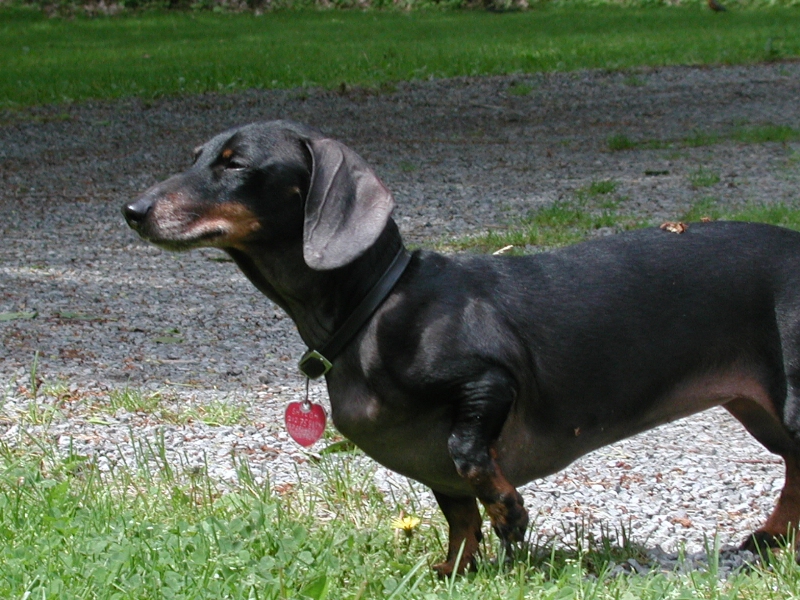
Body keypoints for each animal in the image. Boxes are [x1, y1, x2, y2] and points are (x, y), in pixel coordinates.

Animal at [123, 120, 800, 575]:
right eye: (196, 157)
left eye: (235, 164)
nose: (133, 210)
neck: (377, 304)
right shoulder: (423, 459)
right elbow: (458, 515)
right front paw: (454, 571)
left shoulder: (489, 382)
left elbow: (470, 456)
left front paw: (512, 514)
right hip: (764, 412)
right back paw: (770, 539)